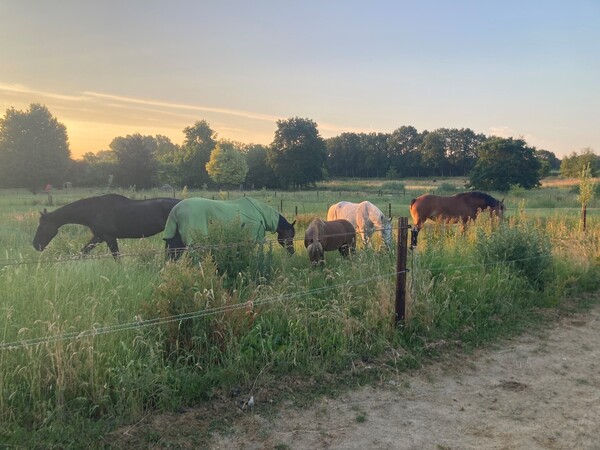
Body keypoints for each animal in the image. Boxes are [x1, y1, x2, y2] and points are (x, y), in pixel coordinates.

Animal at [32, 193, 180, 256]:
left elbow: (116, 256)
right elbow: (83, 252)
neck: (94, 211)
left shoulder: (108, 237)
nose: (35, 245)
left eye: (42, 226)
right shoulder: (99, 237)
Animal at [163, 198, 296, 260]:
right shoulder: (255, 239)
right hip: (193, 243)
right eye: (292, 235)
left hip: (175, 243)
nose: (292, 252)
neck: (261, 213)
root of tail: (175, 211)